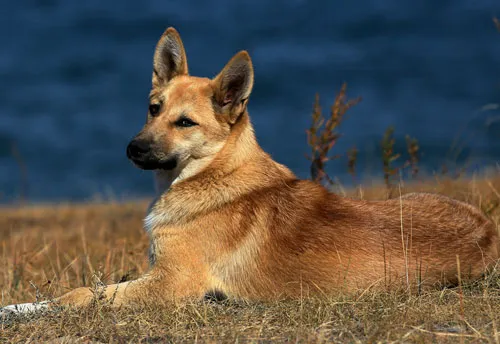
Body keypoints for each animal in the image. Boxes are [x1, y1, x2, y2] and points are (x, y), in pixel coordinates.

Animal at [1, 26, 498, 314]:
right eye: (153, 108)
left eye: (185, 123)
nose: (132, 148)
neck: (213, 175)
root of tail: (489, 235)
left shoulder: (174, 283)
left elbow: (81, 294)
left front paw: (22, 309)